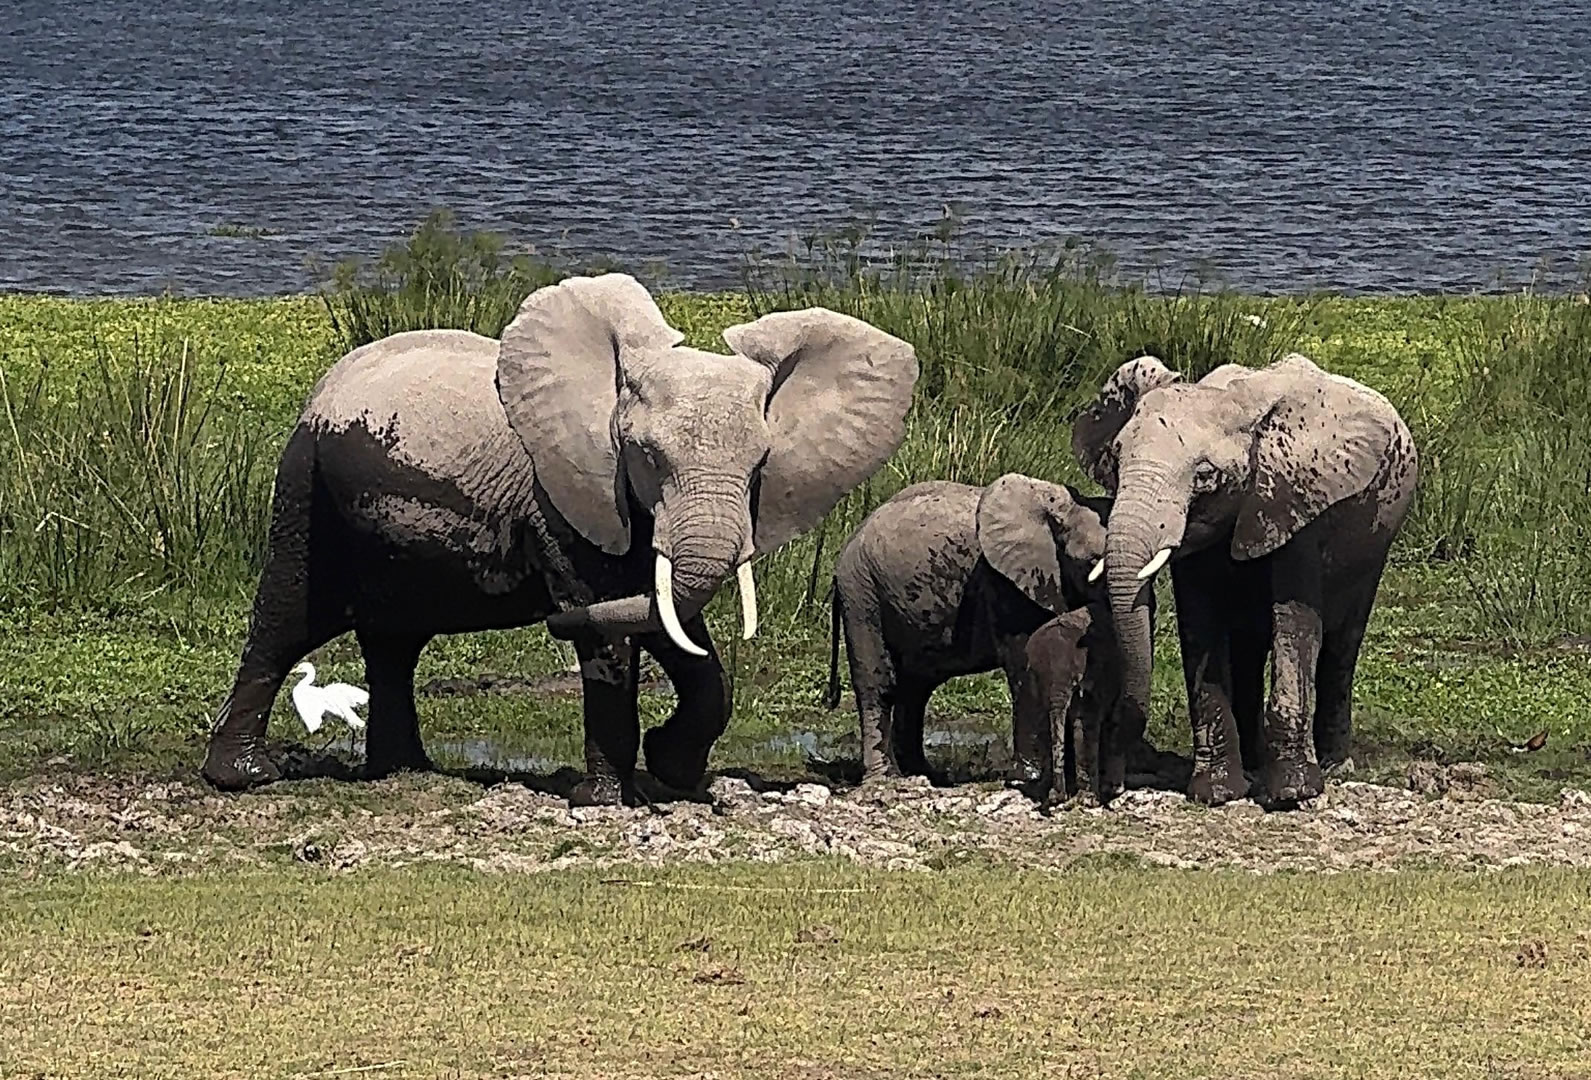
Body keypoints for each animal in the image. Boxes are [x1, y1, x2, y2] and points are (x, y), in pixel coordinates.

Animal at [201, 273, 919, 806]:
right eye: (647, 456)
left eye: (760, 464)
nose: (549, 617)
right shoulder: (567, 498)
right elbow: (613, 631)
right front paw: (607, 801)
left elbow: (666, 620)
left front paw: (672, 770)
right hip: (308, 486)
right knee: (288, 618)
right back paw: (246, 779)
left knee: (394, 643)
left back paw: (406, 773)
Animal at [826, 475, 1157, 800]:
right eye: (1091, 563)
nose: (1116, 788)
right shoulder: (1004, 582)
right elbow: (1023, 663)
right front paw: (1027, 778)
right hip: (862, 594)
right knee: (880, 684)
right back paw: (886, 778)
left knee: (917, 688)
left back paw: (925, 775)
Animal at [1071, 352, 1417, 807]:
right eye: (1115, 459)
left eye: (1204, 477)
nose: (1111, 787)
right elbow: (1200, 627)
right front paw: (1216, 794)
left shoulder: (1294, 500)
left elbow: (1296, 624)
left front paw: (1291, 794)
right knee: (1250, 645)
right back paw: (1255, 763)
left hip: (1377, 539)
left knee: (1343, 645)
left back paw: (1334, 767)